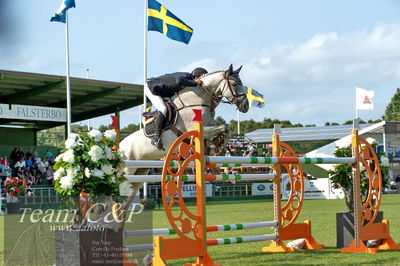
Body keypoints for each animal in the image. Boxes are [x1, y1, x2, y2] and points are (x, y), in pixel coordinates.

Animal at [120, 64, 248, 192]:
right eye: (235, 84)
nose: (246, 105)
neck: (196, 99)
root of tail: (119, 147)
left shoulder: (209, 126)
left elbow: (226, 130)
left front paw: (217, 144)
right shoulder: (197, 129)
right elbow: (223, 127)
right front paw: (217, 144)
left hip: (140, 170)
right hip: (128, 169)